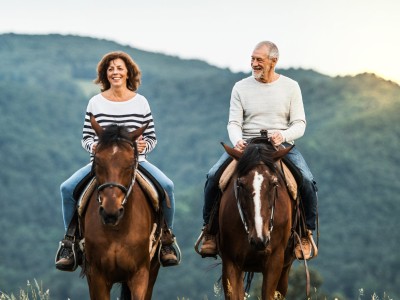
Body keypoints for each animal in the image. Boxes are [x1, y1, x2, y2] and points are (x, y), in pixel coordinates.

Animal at [81, 116, 161, 300]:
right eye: (97, 161)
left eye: (131, 163)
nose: (111, 212)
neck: (118, 231)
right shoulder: (97, 276)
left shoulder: (140, 275)